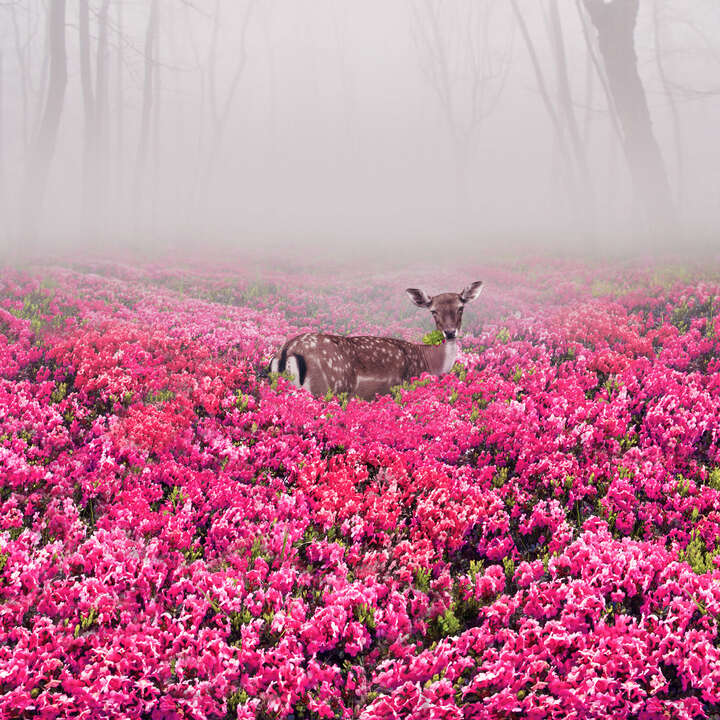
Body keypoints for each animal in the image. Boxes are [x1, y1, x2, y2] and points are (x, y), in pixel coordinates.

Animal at [270, 282, 484, 402]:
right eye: (433, 311)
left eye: (461, 307)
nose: (450, 332)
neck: (430, 362)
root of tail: (287, 351)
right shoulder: (400, 388)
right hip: (330, 388)